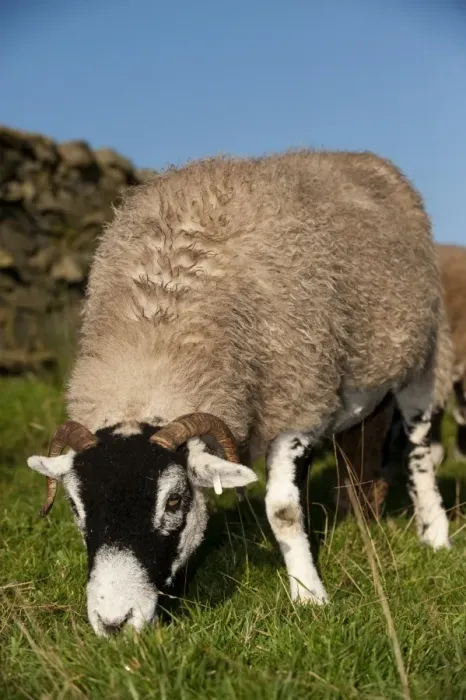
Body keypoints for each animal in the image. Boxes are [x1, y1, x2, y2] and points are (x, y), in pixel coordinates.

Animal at [26, 148, 452, 637]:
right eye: (75, 505)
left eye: (174, 500)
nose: (114, 623)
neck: (161, 323)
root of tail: (364, 158)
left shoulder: (296, 402)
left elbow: (284, 512)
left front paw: (309, 597)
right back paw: (363, 516)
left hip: (424, 354)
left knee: (419, 448)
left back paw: (434, 533)